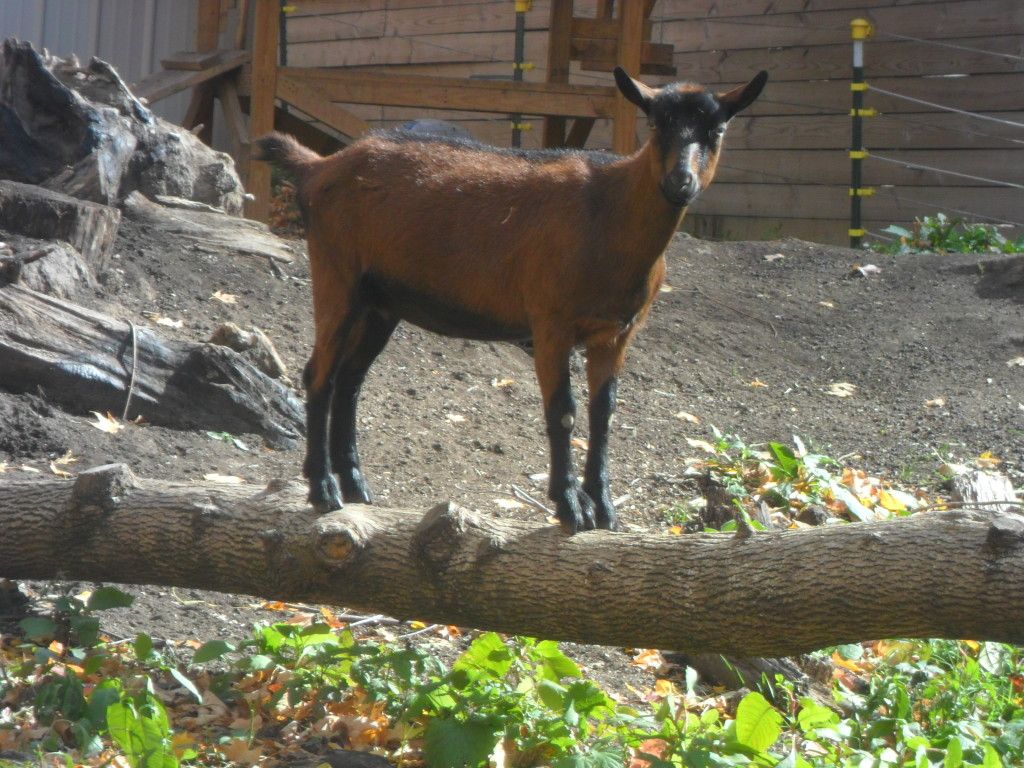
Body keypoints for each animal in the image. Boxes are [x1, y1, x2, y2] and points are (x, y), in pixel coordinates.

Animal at [255, 67, 767, 534]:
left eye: (717, 129)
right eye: (657, 123)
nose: (680, 182)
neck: (608, 212)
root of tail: (319, 167)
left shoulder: (617, 334)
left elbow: (604, 416)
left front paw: (604, 509)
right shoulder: (551, 322)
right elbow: (563, 413)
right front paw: (571, 507)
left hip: (381, 301)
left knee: (350, 379)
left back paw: (357, 486)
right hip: (336, 274)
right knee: (318, 374)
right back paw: (324, 489)